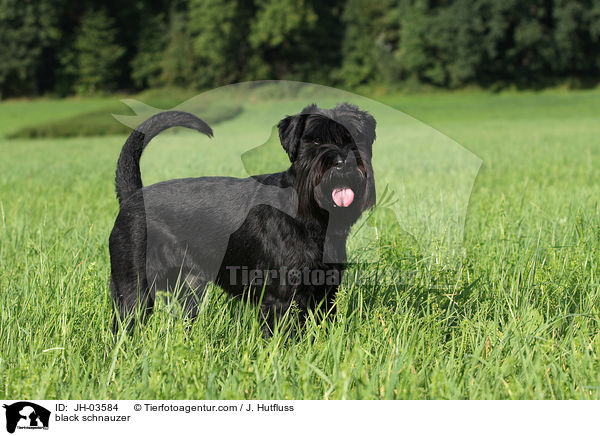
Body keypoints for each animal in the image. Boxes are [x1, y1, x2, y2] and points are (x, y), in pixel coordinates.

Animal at [109, 104, 376, 336]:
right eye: (316, 141)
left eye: (354, 138)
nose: (343, 163)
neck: (312, 216)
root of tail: (133, 195)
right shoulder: (281, 298)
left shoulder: (326, 292)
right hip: (134, 289)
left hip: (189, 286)